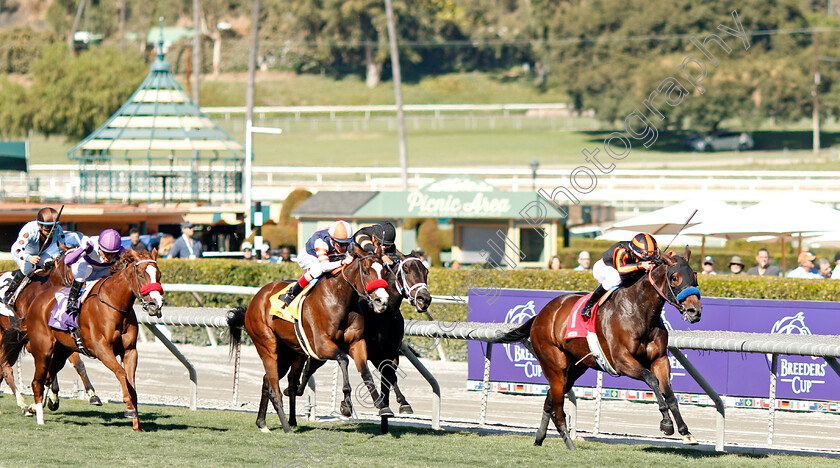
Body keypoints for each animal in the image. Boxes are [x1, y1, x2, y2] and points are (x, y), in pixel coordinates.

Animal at [1, 249, 163, 432]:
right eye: (141, 275)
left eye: (159, 275)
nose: (155, 304)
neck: (114, 304)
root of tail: (36, 301)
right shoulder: (102, 350)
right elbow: (121, 374)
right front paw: (128, 409)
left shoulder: (130, 351)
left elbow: (131, 382)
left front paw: (136, 423)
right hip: (42, 349)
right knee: (36, 381)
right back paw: (38, 417)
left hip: (61, 351)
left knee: (47, 377)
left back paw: (34, 407)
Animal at [226, 250, 390, 434]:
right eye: (366, 271)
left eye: (385, 272)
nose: (382, 301)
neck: (339, 299)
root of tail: (255, 300)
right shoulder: (321, 345)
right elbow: (343, 359)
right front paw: (346, 404)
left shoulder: (356, 342)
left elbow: (365, 371)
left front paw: (382, 406)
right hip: (267, 345)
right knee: (275, 388)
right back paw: (286, 427)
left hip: (288, 353)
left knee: (268, 380)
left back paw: (263, 422)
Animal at [498, 249, 704, 450]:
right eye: (675, 277)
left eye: (694, 275)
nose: (695, 311)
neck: (638, 311)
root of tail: (540, 315)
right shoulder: (622, 361)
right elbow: (651, 379)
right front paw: (666, 424)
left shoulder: (660, 359)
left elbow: (669, 394)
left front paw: (685, 432)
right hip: (554, 365)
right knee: (557, 408)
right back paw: (570, 444)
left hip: (576, 367)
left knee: (550, 400)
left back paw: (539, 438)